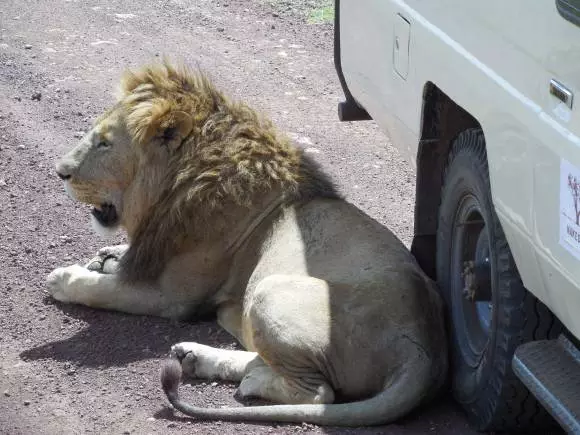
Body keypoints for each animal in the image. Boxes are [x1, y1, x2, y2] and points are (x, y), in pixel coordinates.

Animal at [48, 59, 448, 428]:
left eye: (104, 143)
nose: (60, 172)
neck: (180, 181)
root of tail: (423, 349)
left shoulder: (172, 297)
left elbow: (105, 291)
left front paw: (65, 280)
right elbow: (124, 264)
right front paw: (109, 257)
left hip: (270, 290)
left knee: (318, 392)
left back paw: (248, 379)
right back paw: (195, 358)